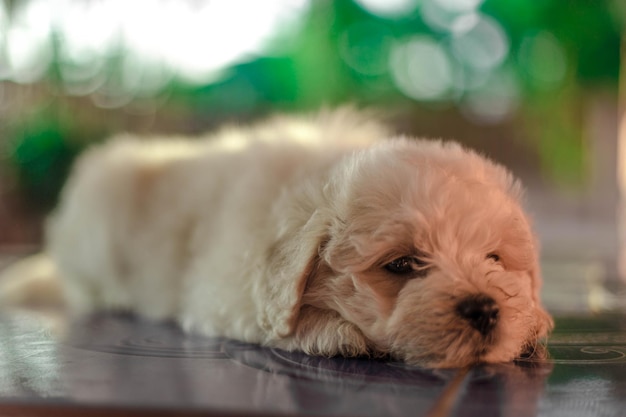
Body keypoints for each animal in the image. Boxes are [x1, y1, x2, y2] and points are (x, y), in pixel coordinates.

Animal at [3, 109, 552, 366]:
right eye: (401, 264)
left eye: (495, 258)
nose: (485, 308)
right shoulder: (226, 290)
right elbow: (281, 324)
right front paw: (336, 332)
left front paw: (532, 325)